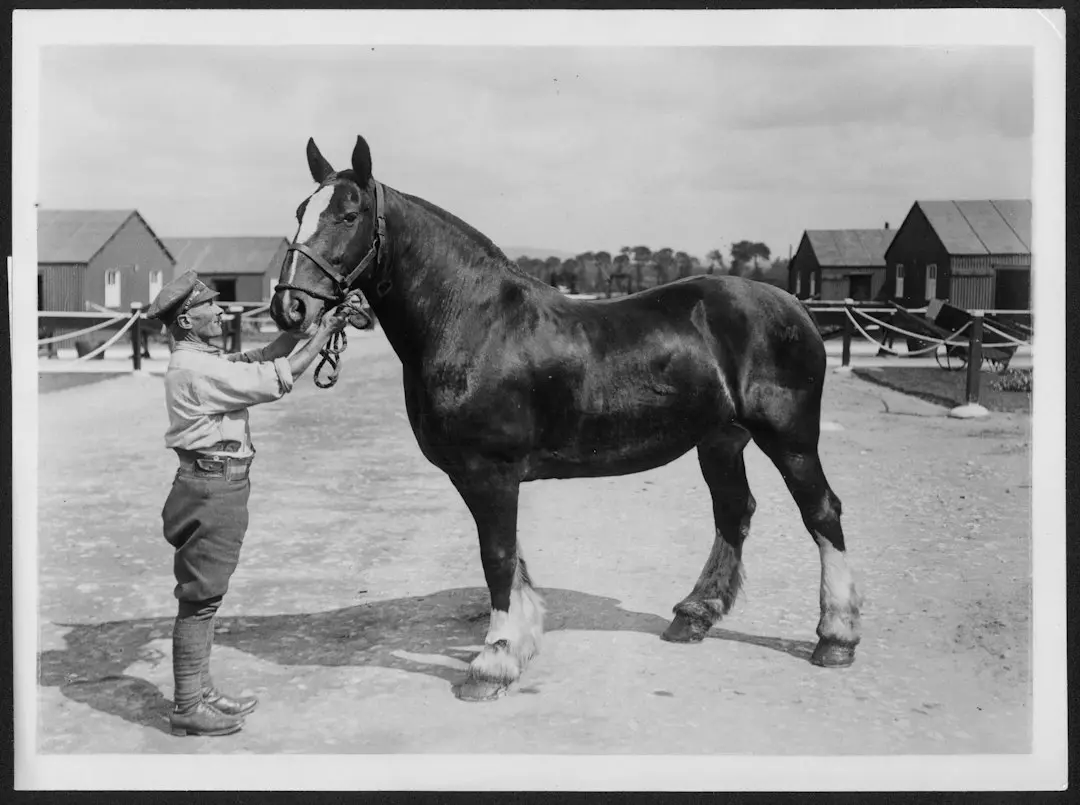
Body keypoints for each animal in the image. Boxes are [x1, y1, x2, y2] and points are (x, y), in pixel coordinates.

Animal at [270, 135, 862, 702]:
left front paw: (493, 662)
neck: (473, 321)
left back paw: (836, 637)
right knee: (733, 512)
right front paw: (519, 642)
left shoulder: (491, 472)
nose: (289, 308)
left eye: (349, 215)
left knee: (821, 513)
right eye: (300, 210)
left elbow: (497, 557)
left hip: (789, 438)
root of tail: (795, 306)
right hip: (721, 440)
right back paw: (695, 614)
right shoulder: (479, 477)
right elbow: (511, 559)